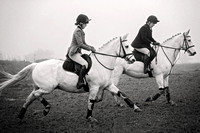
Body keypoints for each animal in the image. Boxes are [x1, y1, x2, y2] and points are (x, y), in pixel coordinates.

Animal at [0, 34, 141, 122]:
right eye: (127, 46)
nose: (133, 60)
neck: (102, 63)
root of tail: (36, 65)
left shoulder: (108, 85)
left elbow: (122, 94)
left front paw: (136, 108)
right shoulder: (94, 87)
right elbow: (91, 102)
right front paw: (90, 117)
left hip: (41, 86)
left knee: (32, 96)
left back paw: (28, 113)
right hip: (47, 87)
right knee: (34, 95)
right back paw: (40, 109)